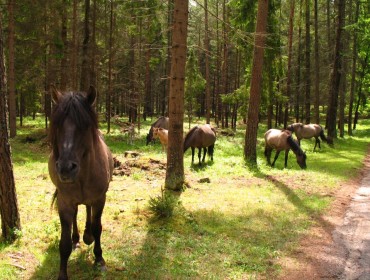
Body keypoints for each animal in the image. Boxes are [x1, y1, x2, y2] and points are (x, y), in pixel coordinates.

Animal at [48, 86, 113, 280]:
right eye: (58, 125)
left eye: (85, 126)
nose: (65, 168)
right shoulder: (65, 202)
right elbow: (64, 242)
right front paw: (62, 274)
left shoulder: (100, 199)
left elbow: (98, 227)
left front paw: (99, 259)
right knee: (77, 214)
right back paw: (77, 238)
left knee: (88, 210)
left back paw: (87, 236)